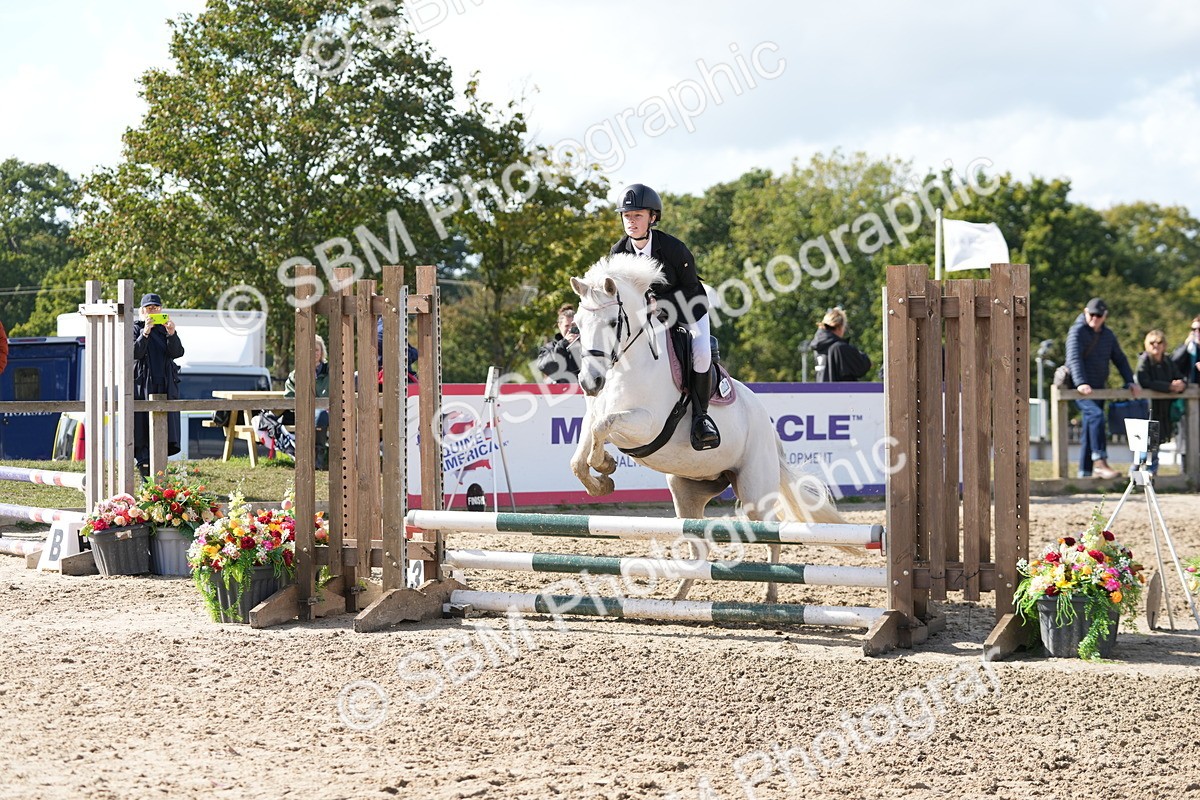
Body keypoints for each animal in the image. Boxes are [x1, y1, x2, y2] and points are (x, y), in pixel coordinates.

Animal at [568, 253, 851, 602]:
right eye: (578, 326)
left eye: (612, 323)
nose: (589, 382)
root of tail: (768, 426)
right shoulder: (595, 415)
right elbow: (583, 450)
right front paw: (602, 479)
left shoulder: (646, 423)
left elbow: (604, 427)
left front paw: (604, 466)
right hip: (688, 490)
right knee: (699, 548)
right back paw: (677, 598)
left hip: (754, 490)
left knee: (771, 531)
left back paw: (770, 595)